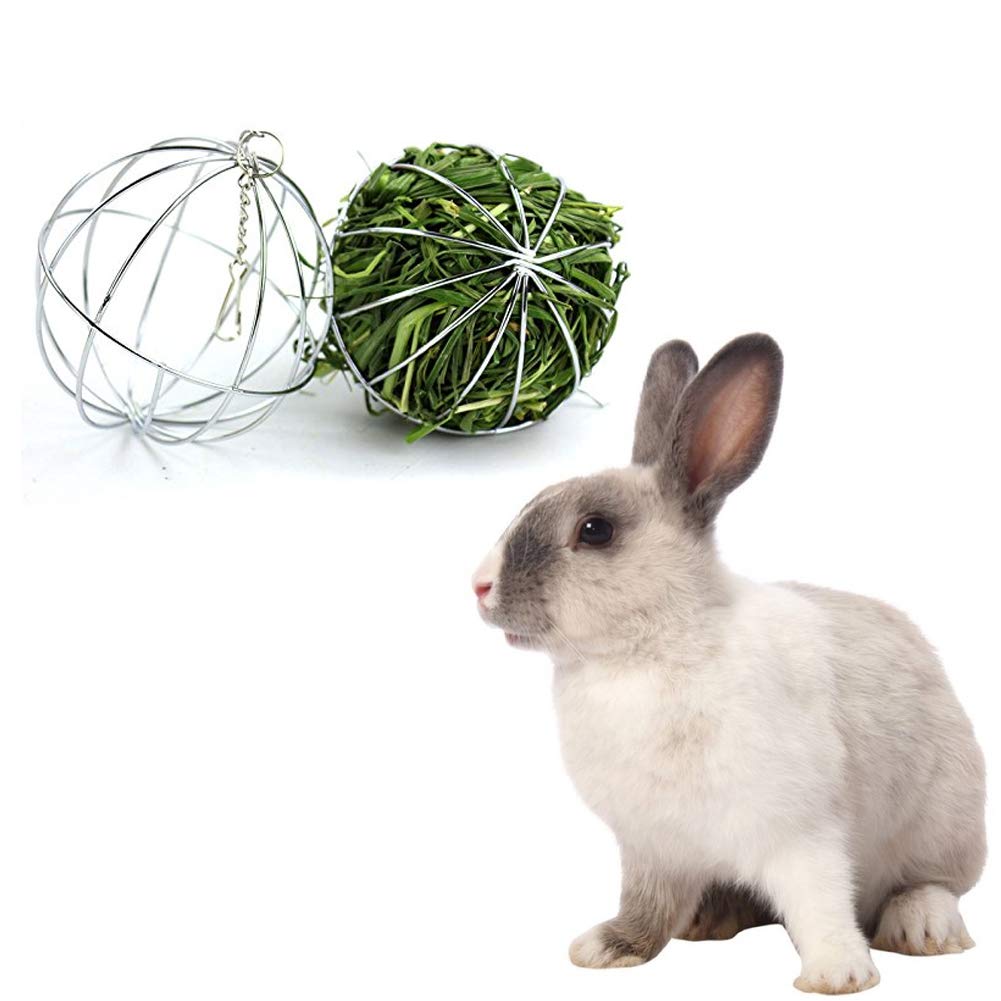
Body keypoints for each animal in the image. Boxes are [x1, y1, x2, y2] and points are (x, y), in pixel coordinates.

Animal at [472, 334, 985, 994]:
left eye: (595, 530)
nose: (479, 587)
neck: (650, 648)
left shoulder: (801, 833)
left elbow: (818, 901)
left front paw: (837, 975)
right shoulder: (651, 846)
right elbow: (645, 905)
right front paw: (608, 948)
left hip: (942, 824)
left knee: (932, 884)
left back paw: (920, 926)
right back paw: (710, 917)